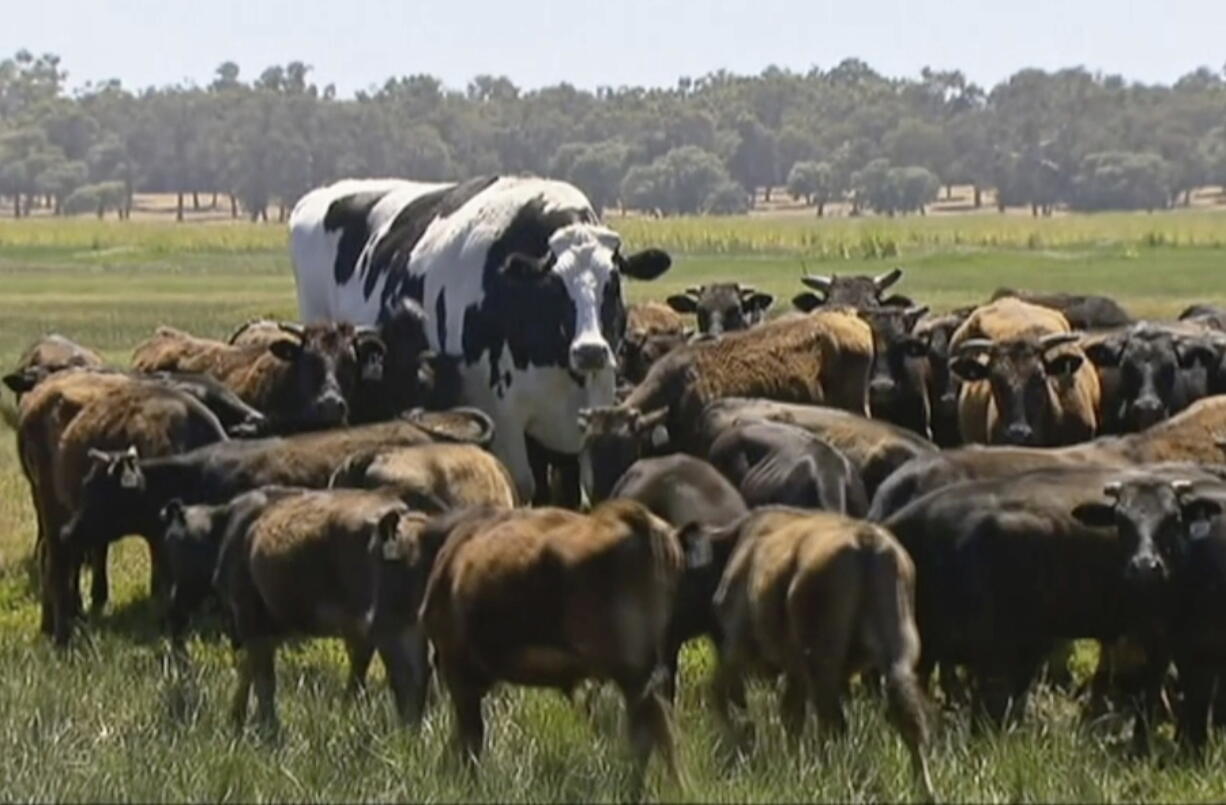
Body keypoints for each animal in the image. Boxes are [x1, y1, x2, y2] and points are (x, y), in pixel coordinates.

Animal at [416, 499, 696, 793]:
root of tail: (635, 519)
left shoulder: (459, 672)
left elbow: (470, 739)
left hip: (632, 672)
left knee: (653, 730)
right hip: (646, 672)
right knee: (656, 729)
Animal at [706, 504, 931, 793]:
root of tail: (868, 543)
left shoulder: (737, 649)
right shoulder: (794, 670)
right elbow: (791, 716)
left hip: (822, 664)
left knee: (833, 721)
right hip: (895, 657)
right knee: (909, 720)